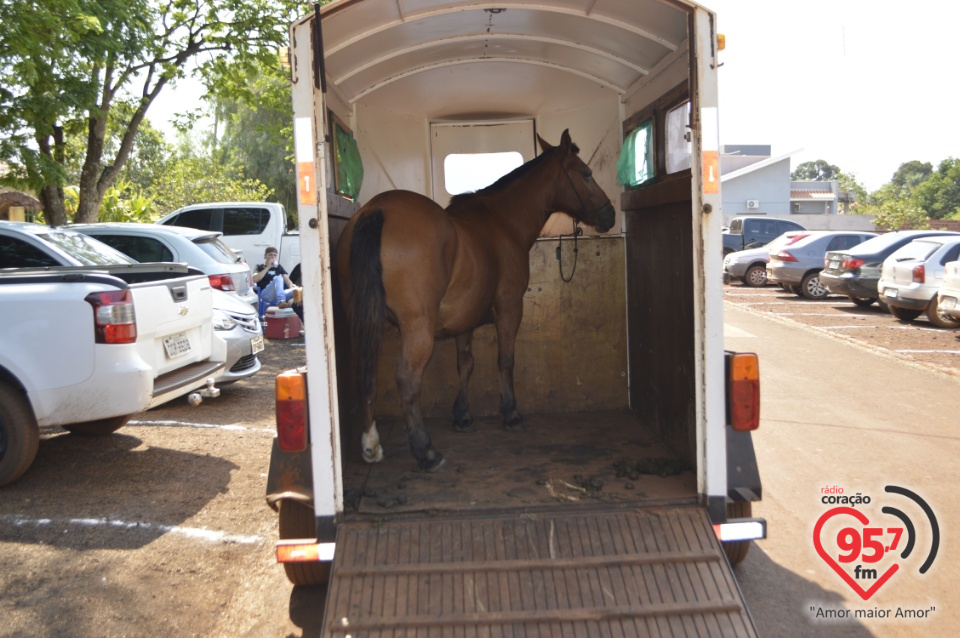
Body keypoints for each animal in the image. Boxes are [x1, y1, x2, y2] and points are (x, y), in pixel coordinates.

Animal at [336, 130, 616, 472]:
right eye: (586, 173)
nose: (609, 214)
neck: (502, 221)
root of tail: (376, 211)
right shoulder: (510, 309)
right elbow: (505, 360)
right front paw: (510, 413)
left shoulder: (464, 321)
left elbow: (465, 364)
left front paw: (463, 415)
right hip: (417, 328)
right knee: (407, 379)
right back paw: (426, 451)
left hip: (364, 322)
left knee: (364, 374)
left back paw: (370, 444)